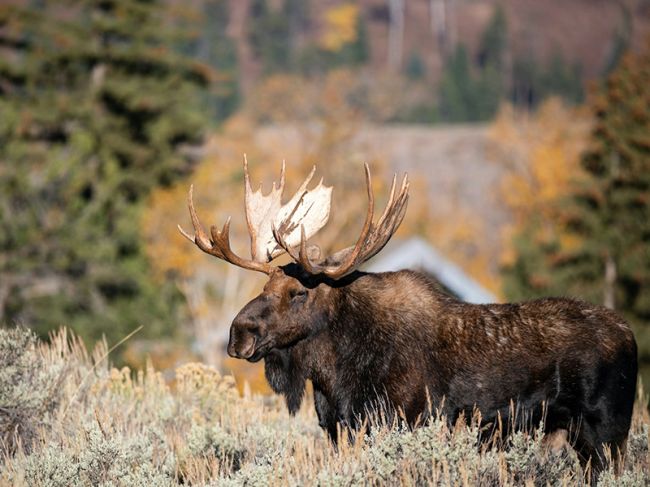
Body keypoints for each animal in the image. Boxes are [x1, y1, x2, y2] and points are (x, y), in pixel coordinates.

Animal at [180, 159, 636, 476]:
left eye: (298, 293)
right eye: (264, 288)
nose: (238, 334)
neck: (335, 374)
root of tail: (630, 335)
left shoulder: (407, 420)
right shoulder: (338, 428)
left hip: (607, 430)